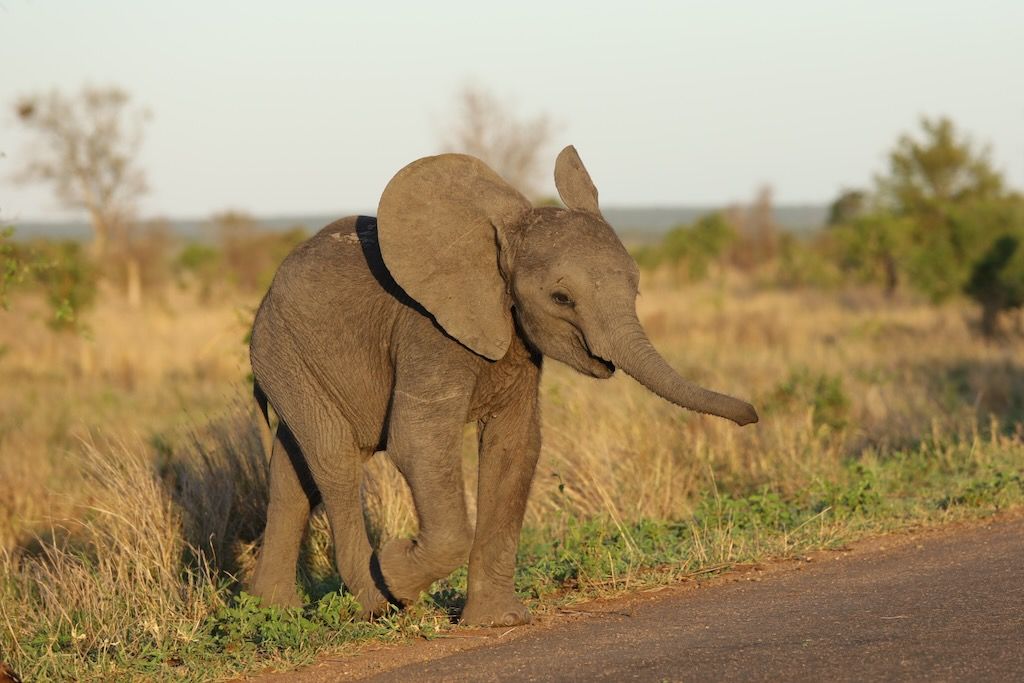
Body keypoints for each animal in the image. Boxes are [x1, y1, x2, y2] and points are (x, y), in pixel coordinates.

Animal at [247, 145, 758, 627]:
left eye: (635, 288)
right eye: (561, 298)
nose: (752, 417)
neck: (498, 244)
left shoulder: (518, 342)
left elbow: (515, 445)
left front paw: (498, 622)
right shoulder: (427, 331)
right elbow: (418, 441)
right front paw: (393, 571)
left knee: (295, 472)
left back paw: (273, 611)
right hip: (281, 351)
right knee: (335, 458)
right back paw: (375, 602)